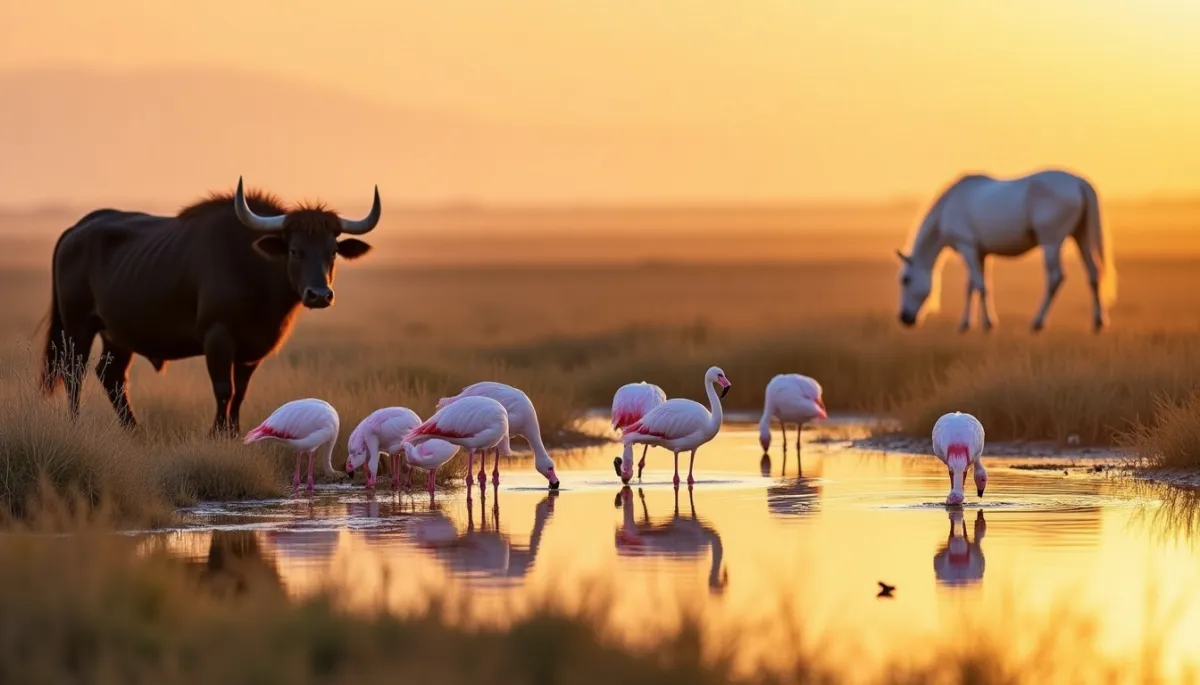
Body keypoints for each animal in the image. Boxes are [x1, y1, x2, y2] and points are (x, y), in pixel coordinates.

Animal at [895, 169, 1117, 333]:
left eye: (905, 279)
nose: (904, 318)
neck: (950, 206)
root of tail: (1079, 182)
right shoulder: (980, 253)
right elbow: (972, 286)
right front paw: (966, 324)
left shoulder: (967, 247)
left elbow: (980, 286)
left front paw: (988, 324)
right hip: (1081, 236)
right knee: (1093, 273)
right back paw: (1098, 322)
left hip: (1052, 242)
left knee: (1055, 277)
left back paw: (1037, 322)